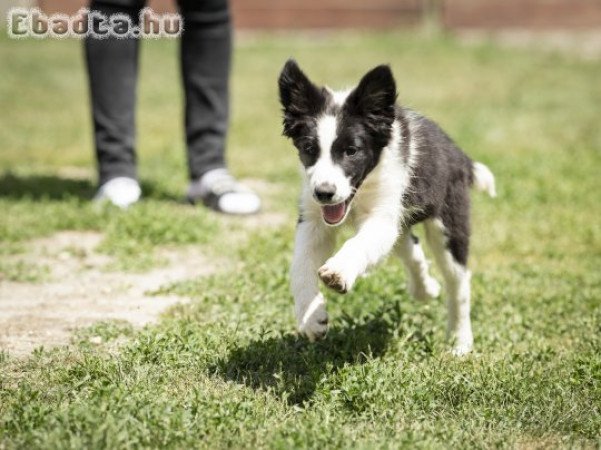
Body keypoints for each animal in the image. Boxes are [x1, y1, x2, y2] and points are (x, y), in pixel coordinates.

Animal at [278, 59, 494, 356]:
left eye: (351, 151)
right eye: (309, 149)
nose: (324, 193)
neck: (360, 194)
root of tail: (458, 154)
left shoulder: (382, 215)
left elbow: (359, 244)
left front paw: (340, 271)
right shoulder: (313, 219)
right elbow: (300, 264)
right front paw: (311, 318)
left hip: (448, 223)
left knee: (458, 281)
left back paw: (460, 342)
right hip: (401, 220)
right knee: (410, 249)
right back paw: (425, 289)